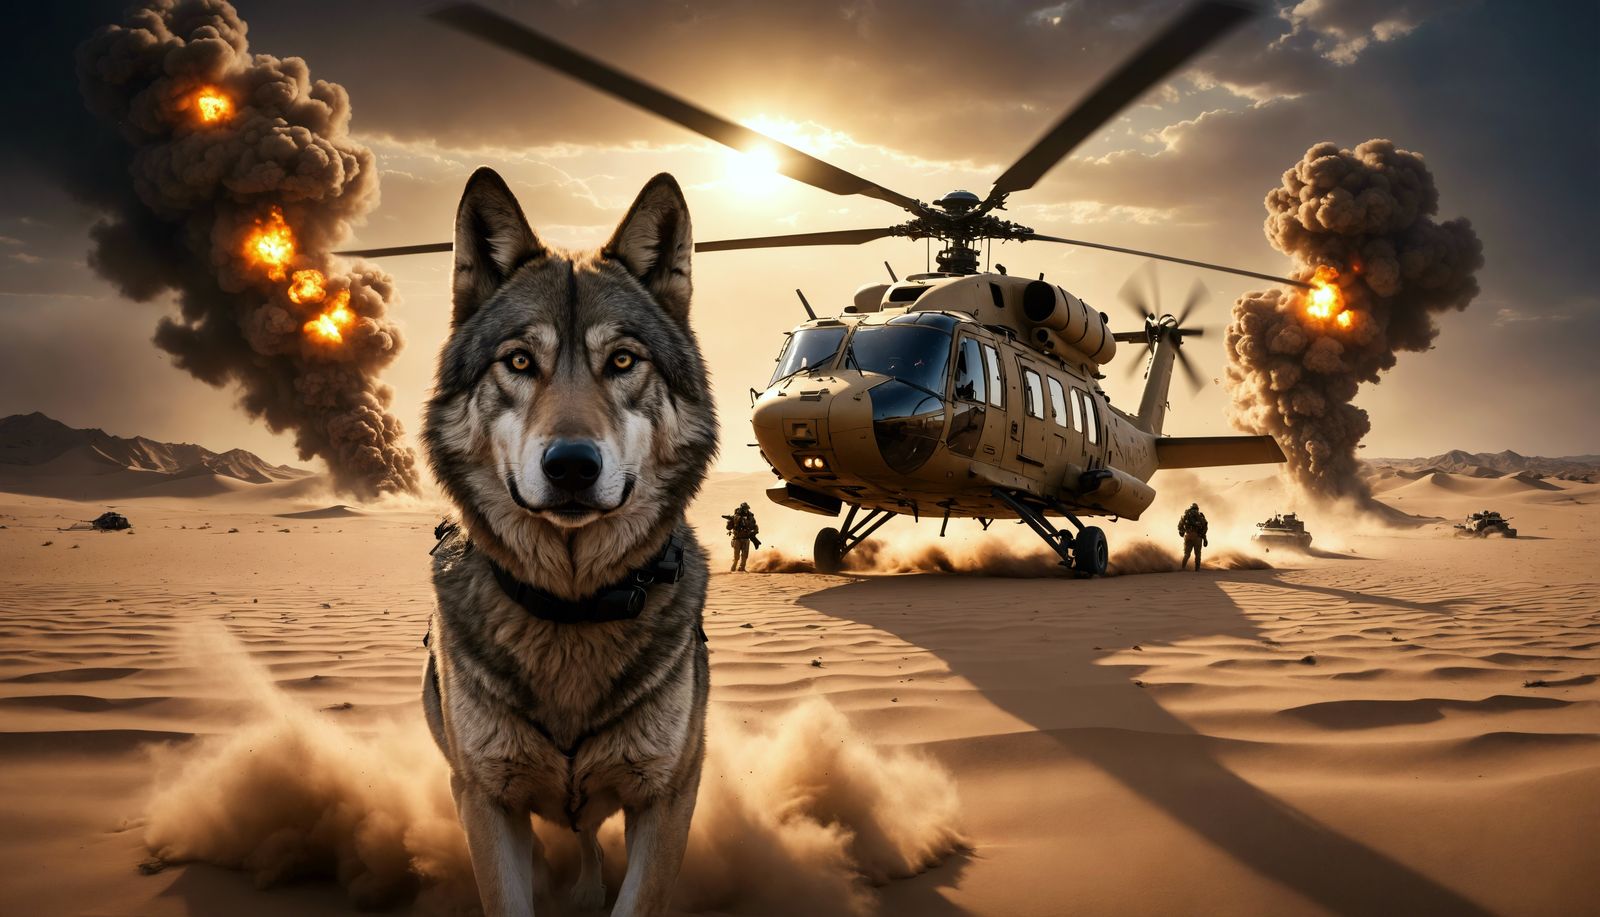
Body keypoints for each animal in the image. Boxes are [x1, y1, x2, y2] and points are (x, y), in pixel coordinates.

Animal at [421, 166, 718, 916]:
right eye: (521, 360)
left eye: (623, 360)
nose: (573, 466)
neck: (573, 608)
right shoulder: (485, 800)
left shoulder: (667, 799)